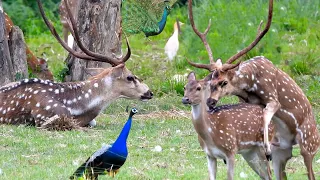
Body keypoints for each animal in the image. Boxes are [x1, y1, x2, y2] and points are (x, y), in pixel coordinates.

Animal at [186, 0, 318, 179]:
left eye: (224, 82)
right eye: (211, 80)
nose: (210, 101)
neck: (250, 84)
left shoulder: (272, 96)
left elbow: (266, 114)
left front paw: (267, 146)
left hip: (309, 144)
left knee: (310, 171)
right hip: (281, 153)